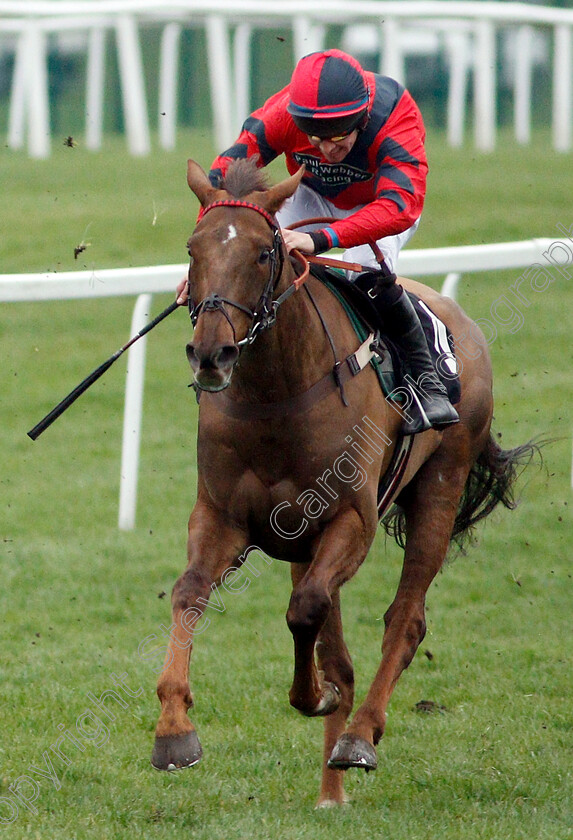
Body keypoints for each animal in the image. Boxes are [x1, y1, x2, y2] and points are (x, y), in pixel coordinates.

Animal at [151, 158, 536, 808]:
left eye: (264, 252)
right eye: (191, 248)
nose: (211, 354)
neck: (277, 395)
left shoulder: (351, 521)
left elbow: (306, 612)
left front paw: (318, 697)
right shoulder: (223, 517)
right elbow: (189, 593)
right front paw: (174, 731)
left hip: (440, 485)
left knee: (405, 619)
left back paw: (357, 738)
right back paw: (330, 790)